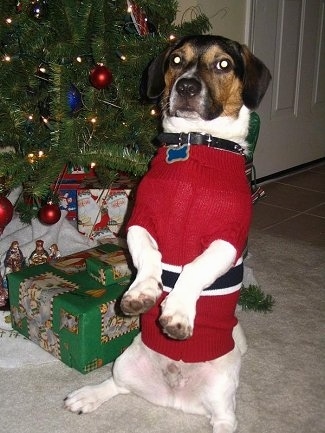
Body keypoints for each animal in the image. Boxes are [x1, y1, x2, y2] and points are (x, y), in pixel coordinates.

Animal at [64, 34, 270, 432]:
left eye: (223, 64)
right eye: (176, 60)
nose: (186, 86)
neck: (195, 145)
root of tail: (174, 397)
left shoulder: (228, 237)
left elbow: (194, 268)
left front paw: (176, 312)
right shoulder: (141, 220)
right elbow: (151, 256)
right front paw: (143, 292)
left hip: (223, 385)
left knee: (225, 418)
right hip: (127, 361)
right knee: (118, 385)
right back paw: (87, 396)